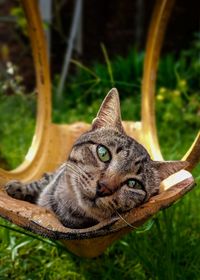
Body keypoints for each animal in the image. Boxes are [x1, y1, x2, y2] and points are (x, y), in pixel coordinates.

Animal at [5, 88, 188, 229]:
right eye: (103, 153)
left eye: (133, 184)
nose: (103, 188)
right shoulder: (59, 172)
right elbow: (42, 181)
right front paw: (19, 187)